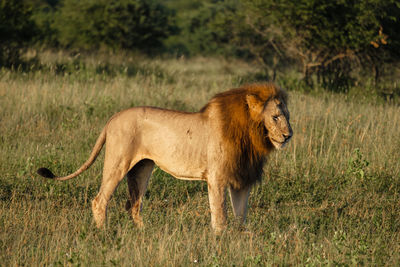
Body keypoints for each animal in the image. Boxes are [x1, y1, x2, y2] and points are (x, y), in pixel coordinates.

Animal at [36, 82, 294, 233]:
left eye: (288, 116)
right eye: (275, 117)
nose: (289, 135)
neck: (251, 136)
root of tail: (114, 116)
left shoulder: (242, 179)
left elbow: (241, 215)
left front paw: (239, 240)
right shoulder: (217, 178)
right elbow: (220, 215)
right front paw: (219, 241)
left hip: (141, 169)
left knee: (134, 204)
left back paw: (143, 233)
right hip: (118, 162)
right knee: (100, 200)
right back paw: (104, 233)